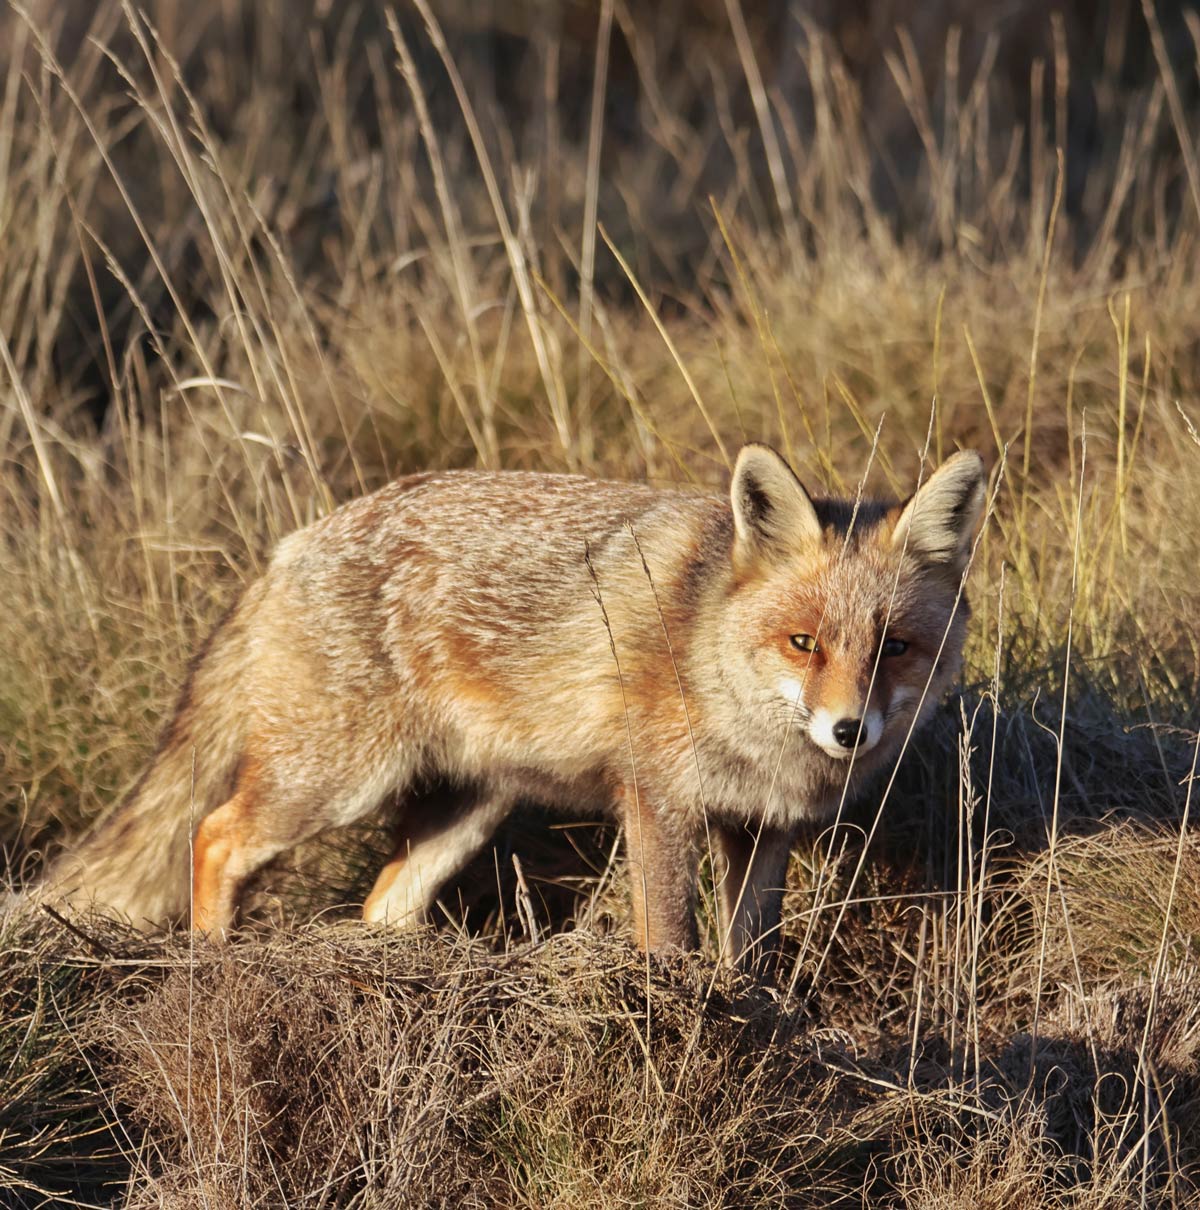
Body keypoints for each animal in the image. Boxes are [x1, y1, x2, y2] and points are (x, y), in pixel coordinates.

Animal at [37, 442, 982, 963]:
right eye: (804, 644)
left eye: (895, 647)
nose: (849, 730)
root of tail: (292, 543)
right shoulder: (659, 804)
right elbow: (669, 942)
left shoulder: (763, 830)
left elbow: (745, 957)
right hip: (333, 781)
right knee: (213, 836)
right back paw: (211, 963)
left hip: (467, 809)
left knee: (384, 904)